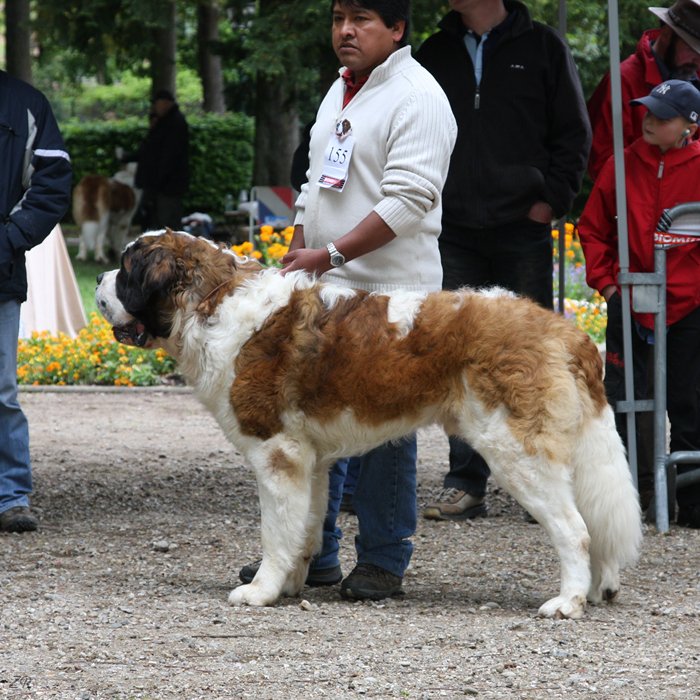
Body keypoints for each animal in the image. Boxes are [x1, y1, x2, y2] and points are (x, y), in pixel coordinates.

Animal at [95, 230, 644, 616]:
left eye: (126, 270)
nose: (99, 280)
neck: (211, 300)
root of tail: (565, 330)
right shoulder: (309, 460)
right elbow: (305, 528)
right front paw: (291, 584)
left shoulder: (276, 454)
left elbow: (275, 530)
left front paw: (259, 591)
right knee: (595, 520)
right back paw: (600, 588)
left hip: (517, 452)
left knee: (575, 529)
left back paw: (567, 602)